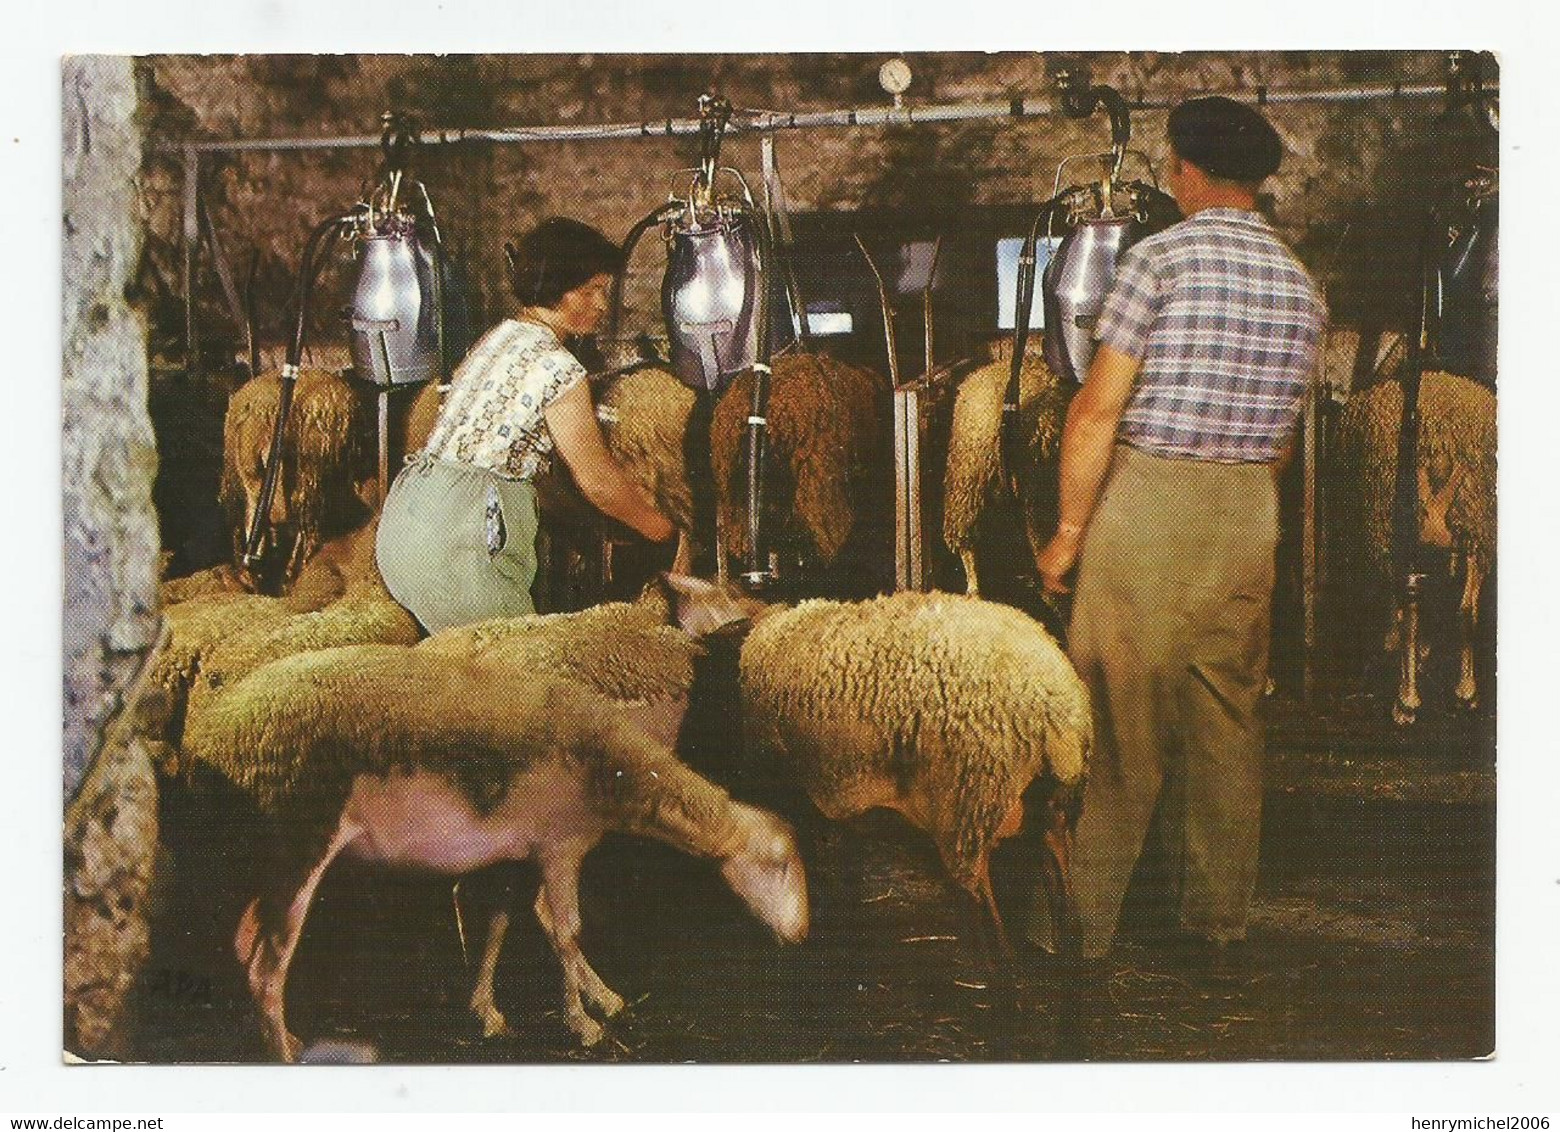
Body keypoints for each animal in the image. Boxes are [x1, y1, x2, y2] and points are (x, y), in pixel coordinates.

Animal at [182, 648, 811, 1066]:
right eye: (780, 863)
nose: (802, 936)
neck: (613, 774)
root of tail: (215, 734)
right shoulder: (559, 846)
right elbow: (567, 931)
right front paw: (584, 1023)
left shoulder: (520, 853)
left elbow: (506, 924)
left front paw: (498, 1011)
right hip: (300, 843)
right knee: (268, 966)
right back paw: (284, 1055)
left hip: (266, 854)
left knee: (245, 944)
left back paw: (281, 1039)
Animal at [1335, 363, 1491, 717]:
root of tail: (1443, 440)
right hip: (1476, 526)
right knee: (1467, 609)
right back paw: (1466, 690)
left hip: (1394, 526)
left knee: (1412, 610)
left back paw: (1406, 700)